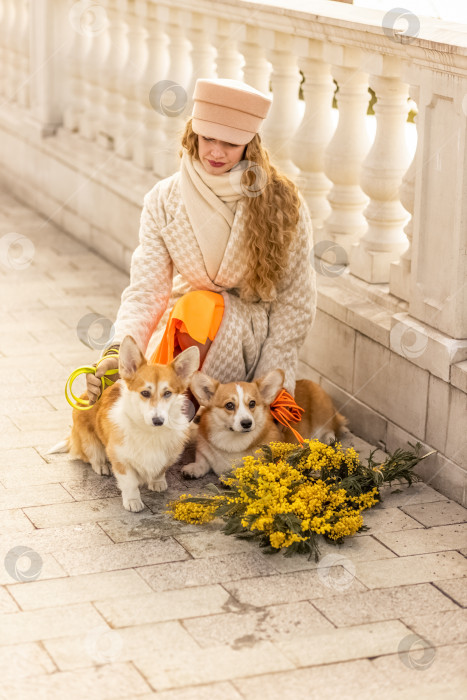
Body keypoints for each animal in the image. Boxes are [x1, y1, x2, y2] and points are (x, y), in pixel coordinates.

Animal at [49, 336, 199, 512]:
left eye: (167, 393)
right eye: (145, 393)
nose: (158, 421)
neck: (150, 432)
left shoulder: (169, 453)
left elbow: (160, 469)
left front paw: (158, 482)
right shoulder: (120, 458)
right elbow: (130, 482)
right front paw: (133, 501)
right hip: (88, 441)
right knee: (92, 455)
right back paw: (101, 466)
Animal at [182, 372, 348, 482]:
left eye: (252, 403)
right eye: (229, 405)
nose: (247, 423)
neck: (232, 441)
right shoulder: (204, 450)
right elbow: (202, 462)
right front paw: (193, 469)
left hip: (322, 411)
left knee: (331, 428)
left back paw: (328, 440)